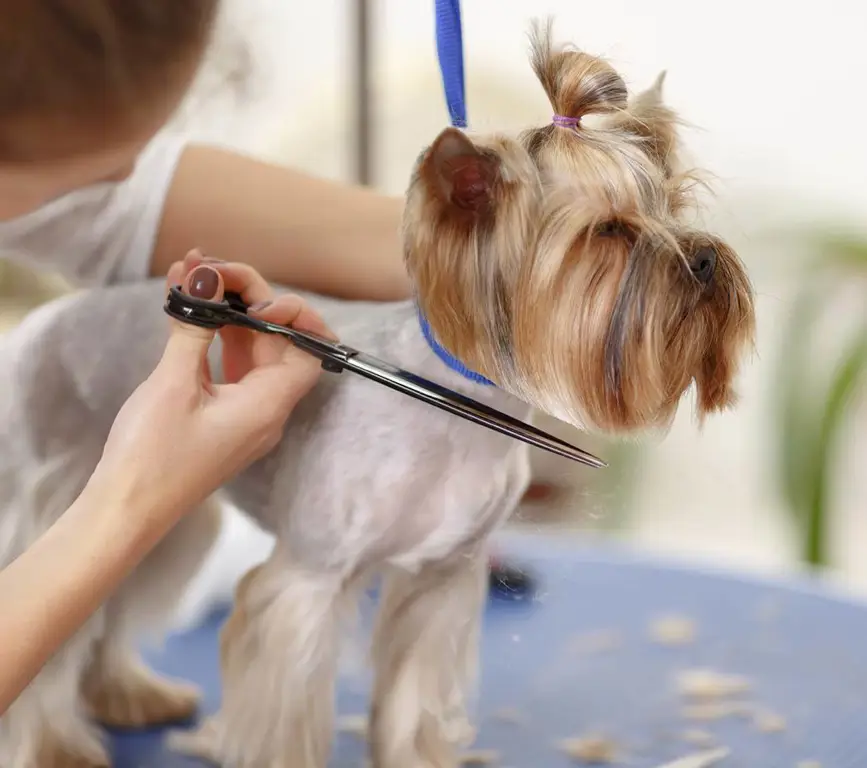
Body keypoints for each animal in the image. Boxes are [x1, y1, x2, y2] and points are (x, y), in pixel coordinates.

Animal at [0, 24, 752, 768]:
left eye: (674, 204)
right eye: (609, 231)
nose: (705, 257)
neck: (451, 410)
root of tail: (47, 321)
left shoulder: (440, 582)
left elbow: (411, 702)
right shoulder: (306, 584)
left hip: (163, 517)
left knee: (110, 603)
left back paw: (128, 695)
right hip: (75, 495)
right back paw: (55, 745)